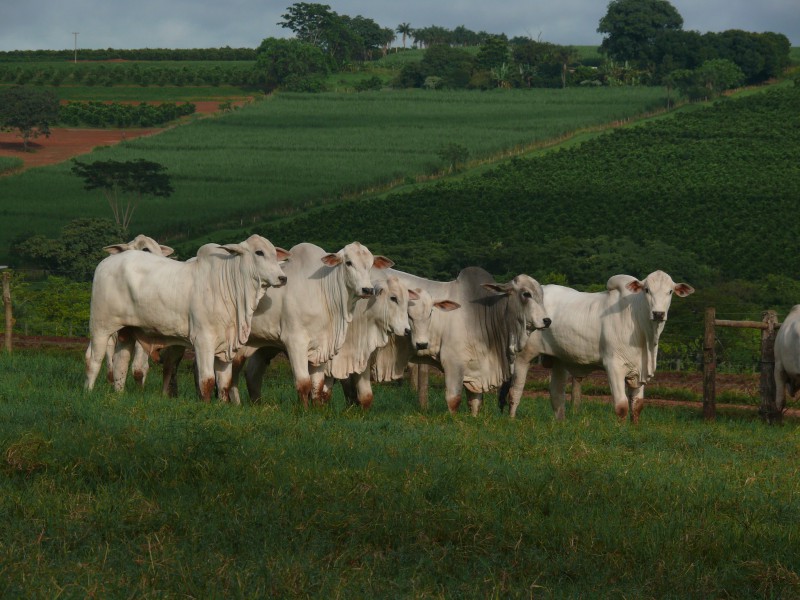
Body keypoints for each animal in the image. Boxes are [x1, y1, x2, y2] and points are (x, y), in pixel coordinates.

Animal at [84, 234, 290, 404]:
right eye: (259, 252)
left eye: (274, 254)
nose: (283, 278)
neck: (229, 286)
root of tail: (106, 262)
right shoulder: (203, 340)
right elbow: (207, 380)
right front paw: (206, 405)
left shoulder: (227, 345)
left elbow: (224, 382)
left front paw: (222, 405)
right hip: (101, 327)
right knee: (94, 360)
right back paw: (89, 392)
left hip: (126, 331)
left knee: (121, 362)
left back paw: (118, 394)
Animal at [233, 241, 392, 406]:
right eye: (348, 263)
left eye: (370, 264)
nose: (367, 289)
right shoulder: (295, 341)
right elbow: (304, 383)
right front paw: (303, 409)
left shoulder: (322, 346)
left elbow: (318, 384)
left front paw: (317, 408)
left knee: (251, 373)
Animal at [368, 268, 552, 418]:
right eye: (526, 294)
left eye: (542, 295)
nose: (547, 320)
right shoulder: (453, 362)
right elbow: (454, 399)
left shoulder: (476, 369)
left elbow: (475, 402)